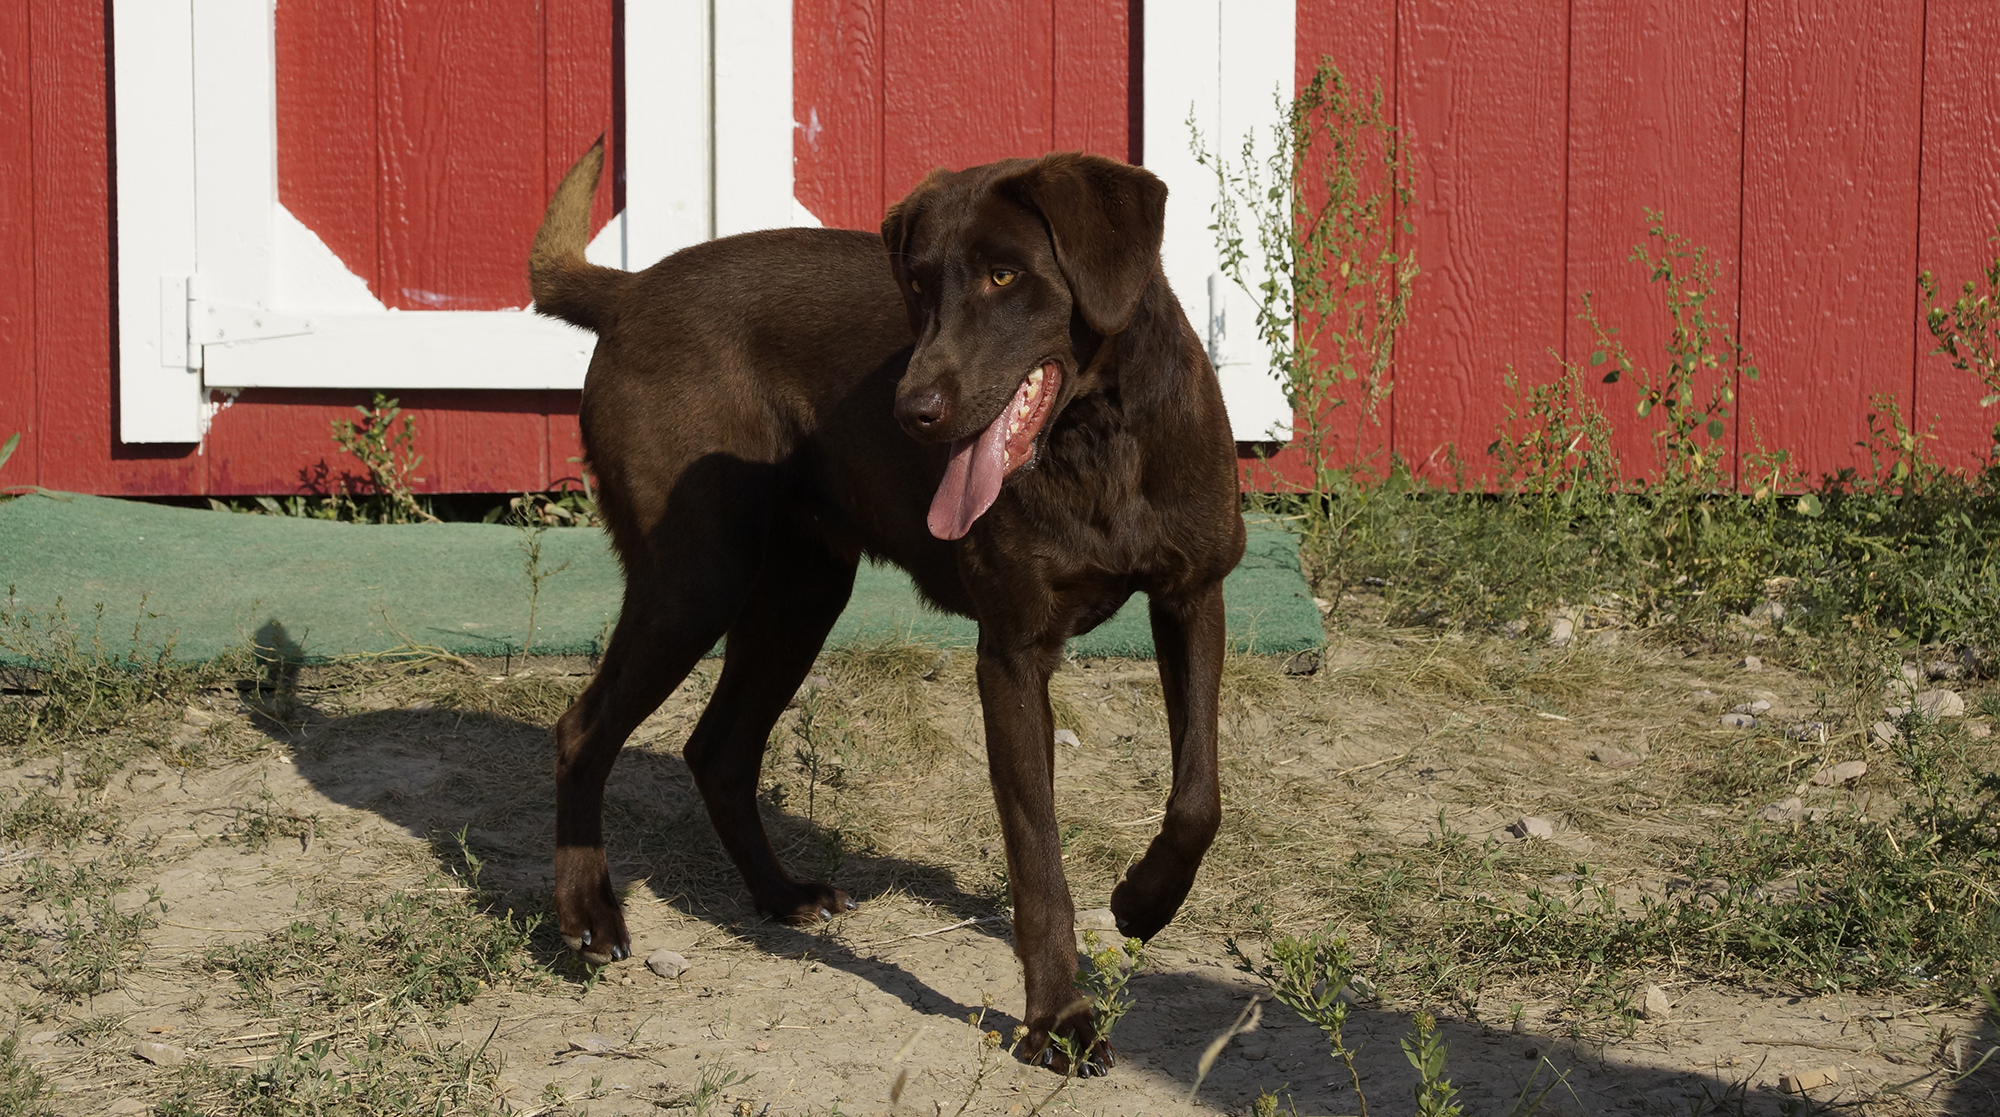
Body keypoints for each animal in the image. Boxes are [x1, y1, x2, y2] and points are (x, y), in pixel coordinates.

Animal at [524, 144, 1240, 1072]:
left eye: (1006, 275)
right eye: (920, 286)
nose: (912, 412)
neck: (1100, 439)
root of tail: (632, 287)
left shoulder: (1194, 596)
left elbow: (1198, 796)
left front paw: (1143, 902)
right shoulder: (1011, 655)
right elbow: (1038, 861)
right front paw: (1059, 1018)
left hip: (803, 592)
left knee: (718, 747)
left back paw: (782, 893)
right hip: (696, 578)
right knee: (584, 729)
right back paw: (587, 913)